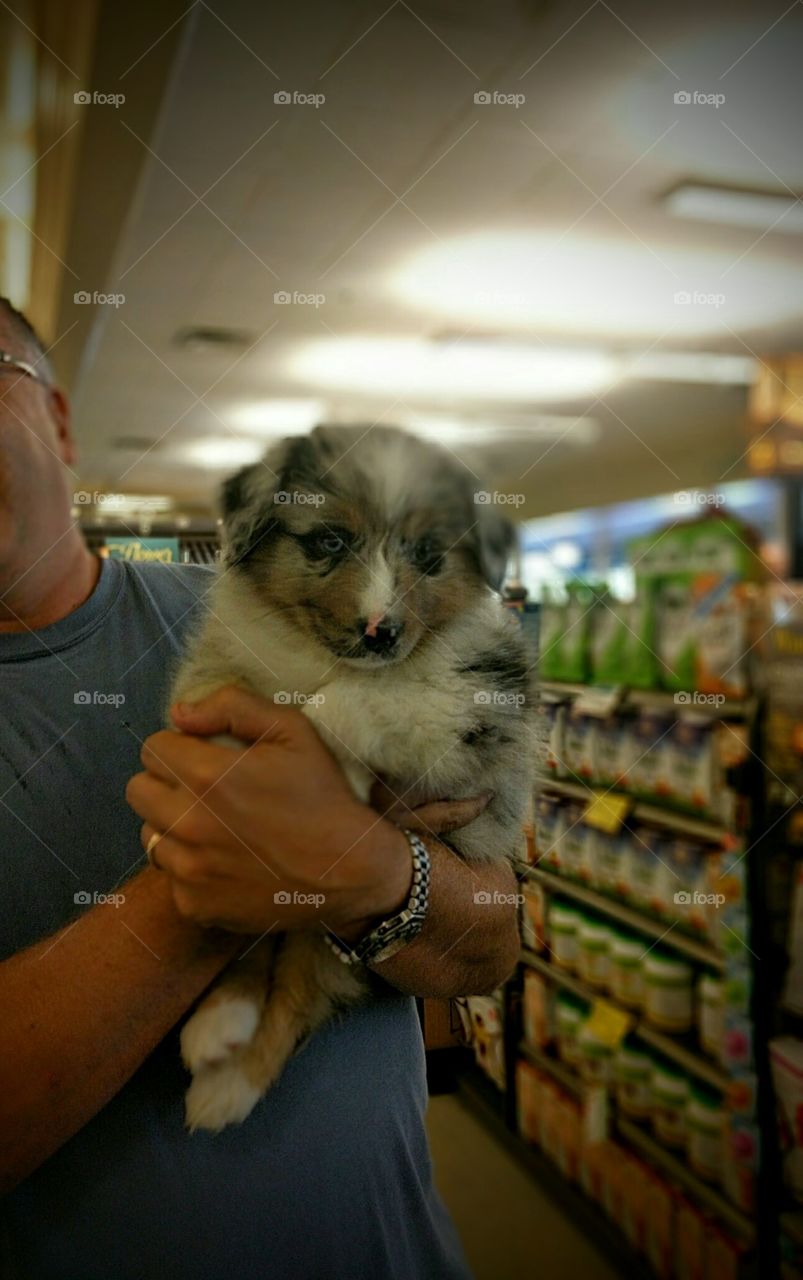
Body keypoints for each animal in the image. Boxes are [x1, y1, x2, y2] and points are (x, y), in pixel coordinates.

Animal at [171, 427, 535, 1131]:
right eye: (328, 542)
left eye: (429, 555)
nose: (379, 631)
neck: (319, 657)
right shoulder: (224, 665)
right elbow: (209, 702)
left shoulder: (479, 705)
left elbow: (369, 697)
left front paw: (323, 748)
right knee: (254, 946)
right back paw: (220, 1021)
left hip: (336, 934)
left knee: (297, 992)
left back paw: (225, 1086)